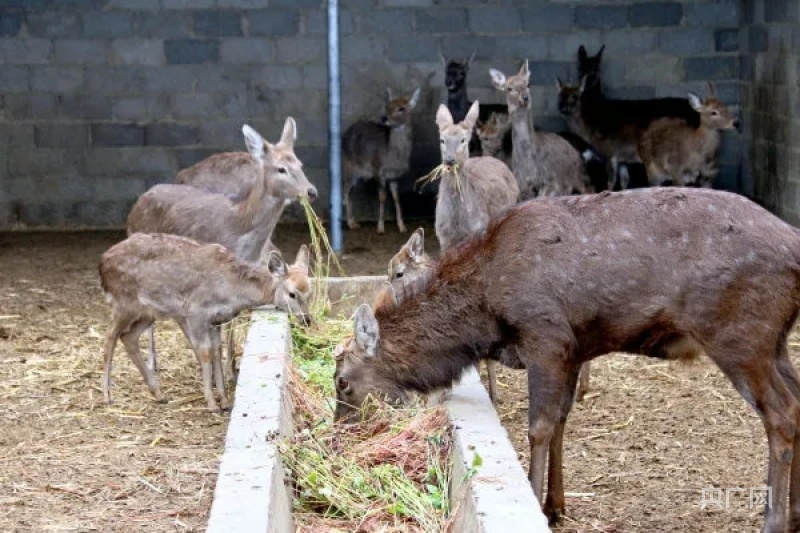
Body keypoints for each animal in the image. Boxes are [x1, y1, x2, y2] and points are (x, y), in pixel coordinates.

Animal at [98, 232, 290, 412]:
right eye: (292, 293)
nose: (301, 317)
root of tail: (102, 263)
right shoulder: (196, 313)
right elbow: (205, 351)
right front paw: (212, 403)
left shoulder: (215, 321)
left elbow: (216, 351)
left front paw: (224, 401)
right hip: (124, 303)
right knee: (110, 336)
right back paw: (107, 395)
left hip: (149, 312)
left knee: (128, 336)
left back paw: (159, 394)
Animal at [332, 186, 800, 532]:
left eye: (341, 381)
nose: (339, 438)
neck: (485, 311)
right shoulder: (574, 349)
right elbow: (560, 420)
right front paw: (554, 505)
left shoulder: (545, 335)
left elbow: (539, 426)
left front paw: (535, 498)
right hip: (775, 342)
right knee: (797, 402)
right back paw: (794, 515)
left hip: (740, 335)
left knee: (781, 414)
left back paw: (774, 520)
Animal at [342, 87, 422, 233]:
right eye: (387, 106)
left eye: (402, 108)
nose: (384, 118)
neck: (392, 157)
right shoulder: (378, 170)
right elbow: (382, 197)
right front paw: (380, 226)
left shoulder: (394, 176)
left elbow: (396, 198)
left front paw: (402, 226)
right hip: (348, 166)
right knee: (345, 190)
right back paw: (349, 223)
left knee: (351, 192)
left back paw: (354, 222)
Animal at [488, 60, 592, 201]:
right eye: (509, 88)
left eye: (528, 84)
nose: (525, 97)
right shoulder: (519, 185)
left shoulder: (551, 182)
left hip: (578, 178)